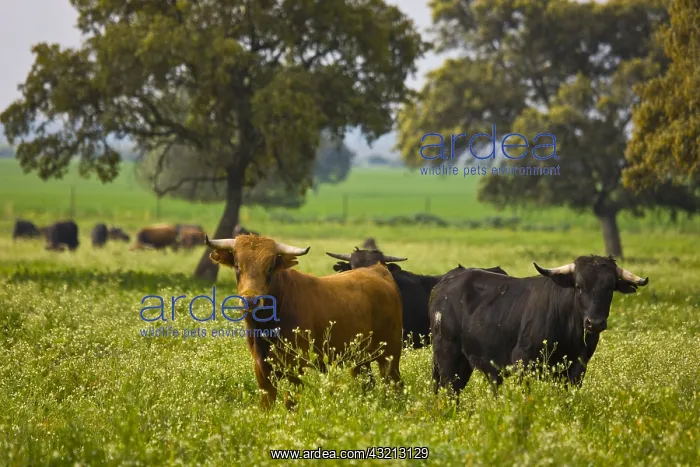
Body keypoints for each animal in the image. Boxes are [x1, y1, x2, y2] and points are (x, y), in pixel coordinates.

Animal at [205, 234, 404, 409]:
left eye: (270, 267)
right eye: (237, 265)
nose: (251, 301)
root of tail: (378, 270)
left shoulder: (296, 368)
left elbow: (291, 403)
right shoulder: (262, 372)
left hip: (390, 355)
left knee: (395, 384)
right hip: (359, 360)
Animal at [430, 255, 649, 396]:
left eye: (610, 288)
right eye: (579, 286)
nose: (594, 323)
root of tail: (444, 282)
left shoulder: (578, 367)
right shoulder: (523, 361)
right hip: (448, 356)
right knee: (449, 391)